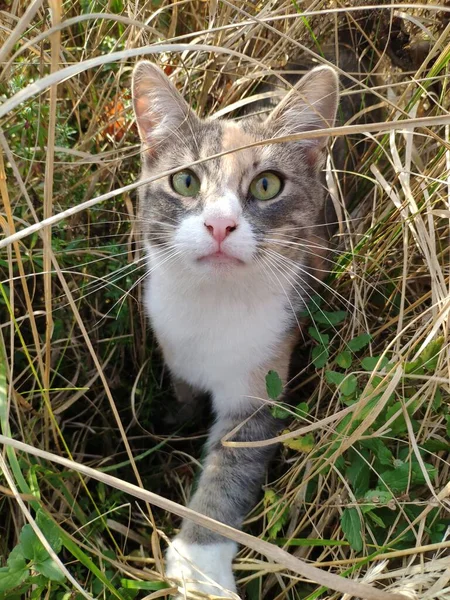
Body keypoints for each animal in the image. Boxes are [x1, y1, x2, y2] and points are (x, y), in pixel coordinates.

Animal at [132, 55, 346, 596]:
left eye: (267, 184)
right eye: (185, 181)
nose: (219, 225)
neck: (214, 303)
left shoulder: (262, 378)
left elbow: (231, 465)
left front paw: (199, 565)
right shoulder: (173, 346)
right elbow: (185, 396)